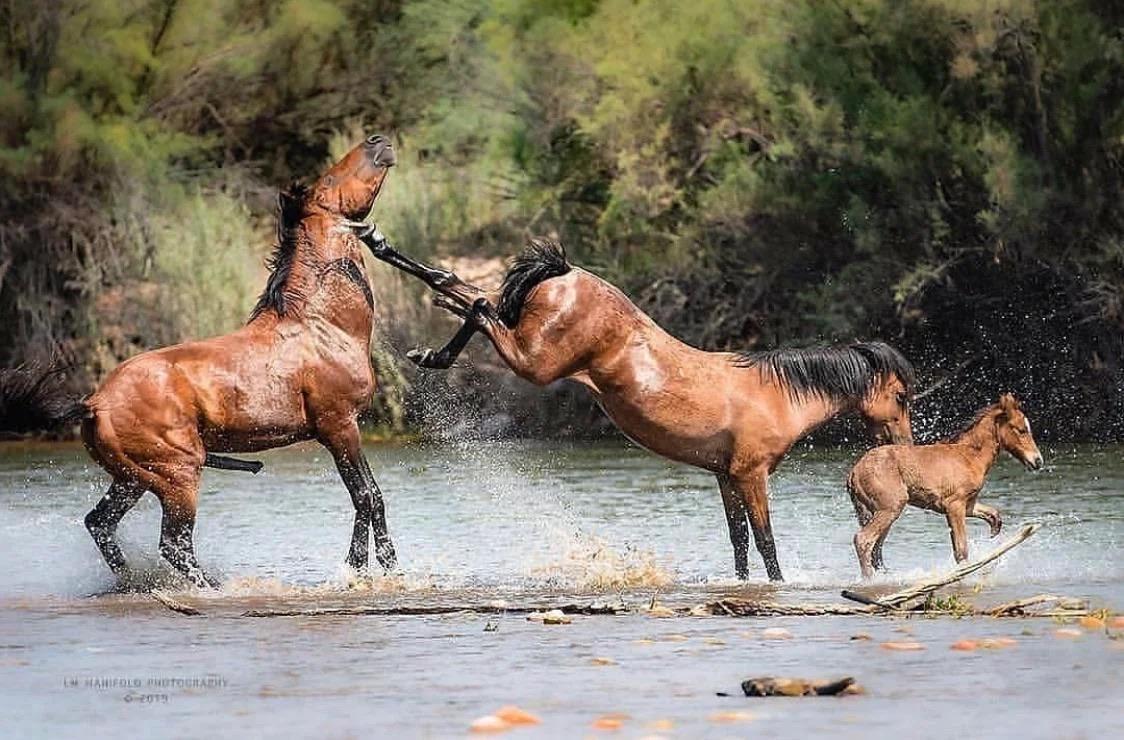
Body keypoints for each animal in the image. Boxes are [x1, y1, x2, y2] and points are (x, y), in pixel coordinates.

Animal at [0, 135, 400, 589]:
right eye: (328, 180)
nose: (378, 142)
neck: (323, 325)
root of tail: (94, 403)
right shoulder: (338, 425)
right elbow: (365, 496)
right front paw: (360, 572)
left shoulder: (341, 428)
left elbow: (373, 497)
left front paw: (382, 569)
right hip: (178, 475)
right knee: (173, 544)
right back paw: (217, 588)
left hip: (132, 478)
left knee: (101, 524)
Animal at [350, 233, 912, 580]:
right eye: (902, 396)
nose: (904, 444)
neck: (773, 393)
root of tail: (565, 273)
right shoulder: (751, 475)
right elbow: (766, 540)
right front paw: (779, 585)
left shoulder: (724, 476)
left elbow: (738, 542)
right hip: (535, 362)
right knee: (483, 308)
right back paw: (434, 346)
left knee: (461, 287)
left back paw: (392, 263)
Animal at [849, 391, 1043, 575]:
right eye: (1021, 430)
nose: (1038, 461)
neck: (970, 457)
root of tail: (853, 473)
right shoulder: (954, 505)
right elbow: (961, 551)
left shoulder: (968, 505)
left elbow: (994, 514)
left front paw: (993, 533)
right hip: (891, 507)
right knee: (864, 540)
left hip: (876, 511)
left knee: (876, 549)